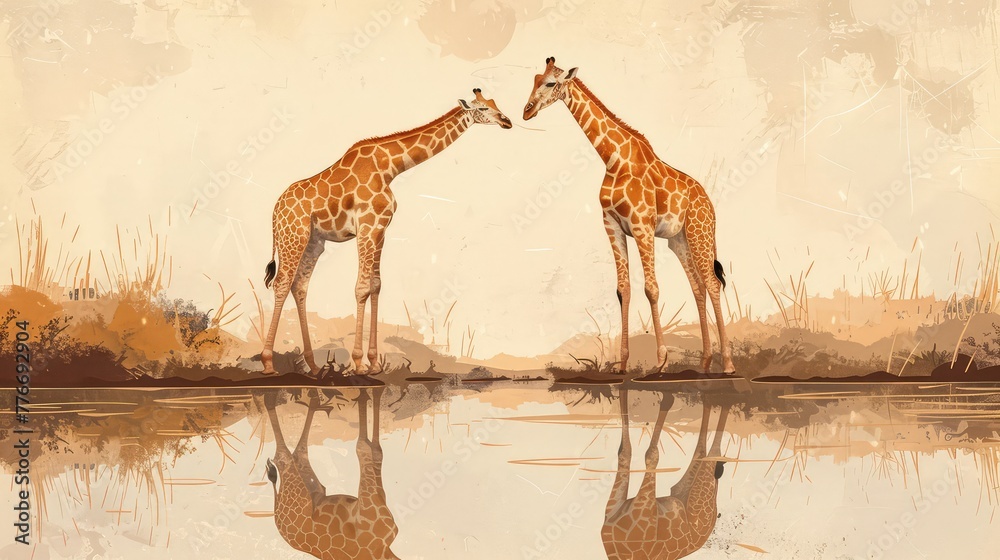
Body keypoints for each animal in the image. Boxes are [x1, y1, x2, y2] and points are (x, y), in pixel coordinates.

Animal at [258, 388, 400, 560]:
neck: (383, 551)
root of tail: (277, 511)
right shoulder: (371, 508)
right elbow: (364, 446)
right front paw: (366, 393)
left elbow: (376, 450)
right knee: (283, 456)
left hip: (311, 487)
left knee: (299, 452)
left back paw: (313, 399)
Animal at [262, 89, 512, 375]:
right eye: (482, 108)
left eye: (494, 103)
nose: (507, 121)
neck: (390, 167)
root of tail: (275, 211)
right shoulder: (367, 225)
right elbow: (361, 287)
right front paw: (359, 364)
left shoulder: (380, 229)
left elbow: (376, 286)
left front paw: (373, 363)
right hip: (292, 236)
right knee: (281, 284)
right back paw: (268, 363)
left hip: (314, 242)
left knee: (300, 286)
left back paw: (313, 366)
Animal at [523, 57, 735, 374]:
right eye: (535, 80)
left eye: (550, 83)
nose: (526, 111)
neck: (613, 160)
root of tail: (709, 203)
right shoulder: (611, 225)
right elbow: (623, 289)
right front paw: (622, 364)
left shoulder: (641, 225)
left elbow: (651, 289)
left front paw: (660, 362)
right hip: (680, 241)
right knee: (697, 287)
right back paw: (705, 362)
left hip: (701, 233)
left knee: (711, 283)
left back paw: (728, 365)